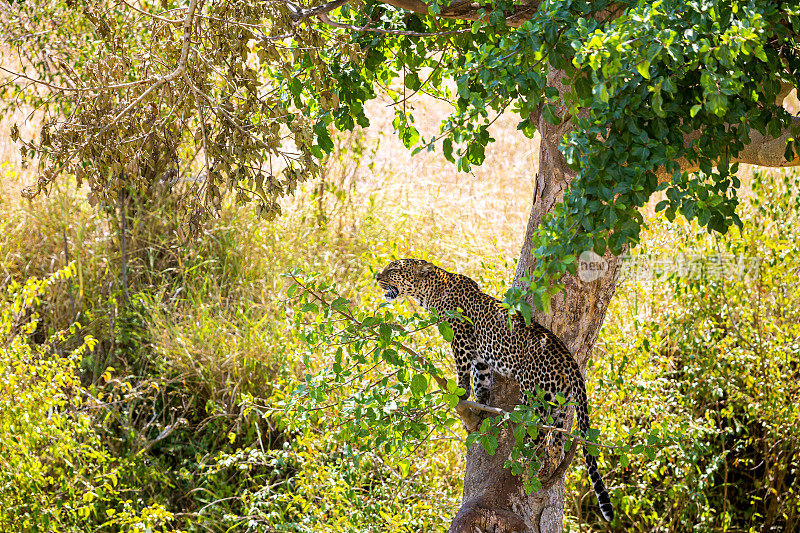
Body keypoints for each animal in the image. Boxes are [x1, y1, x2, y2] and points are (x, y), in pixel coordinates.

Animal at [376, 256, 612, 520]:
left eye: (394, 269)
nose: (377, 277)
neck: (429, 291)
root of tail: (568, 357)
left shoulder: (461, 339)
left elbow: (463, 372)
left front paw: (460, 394)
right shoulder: (480, 357)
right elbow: (482, 380)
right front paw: (480, 408)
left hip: (536, 397)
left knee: (539, 436)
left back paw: (522, 461)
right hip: (557, 399)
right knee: (557, 441)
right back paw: (548, 466)